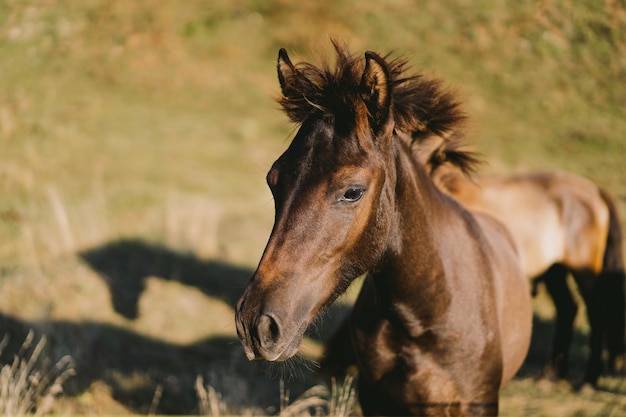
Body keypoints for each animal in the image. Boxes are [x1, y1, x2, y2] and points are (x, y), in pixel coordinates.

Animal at [428, 158, 624, 386]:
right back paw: (553, 372)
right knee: (567, 308)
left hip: (584, 271)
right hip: (554, 270)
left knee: (595, 314)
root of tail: (595, 191)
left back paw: (589, 378)